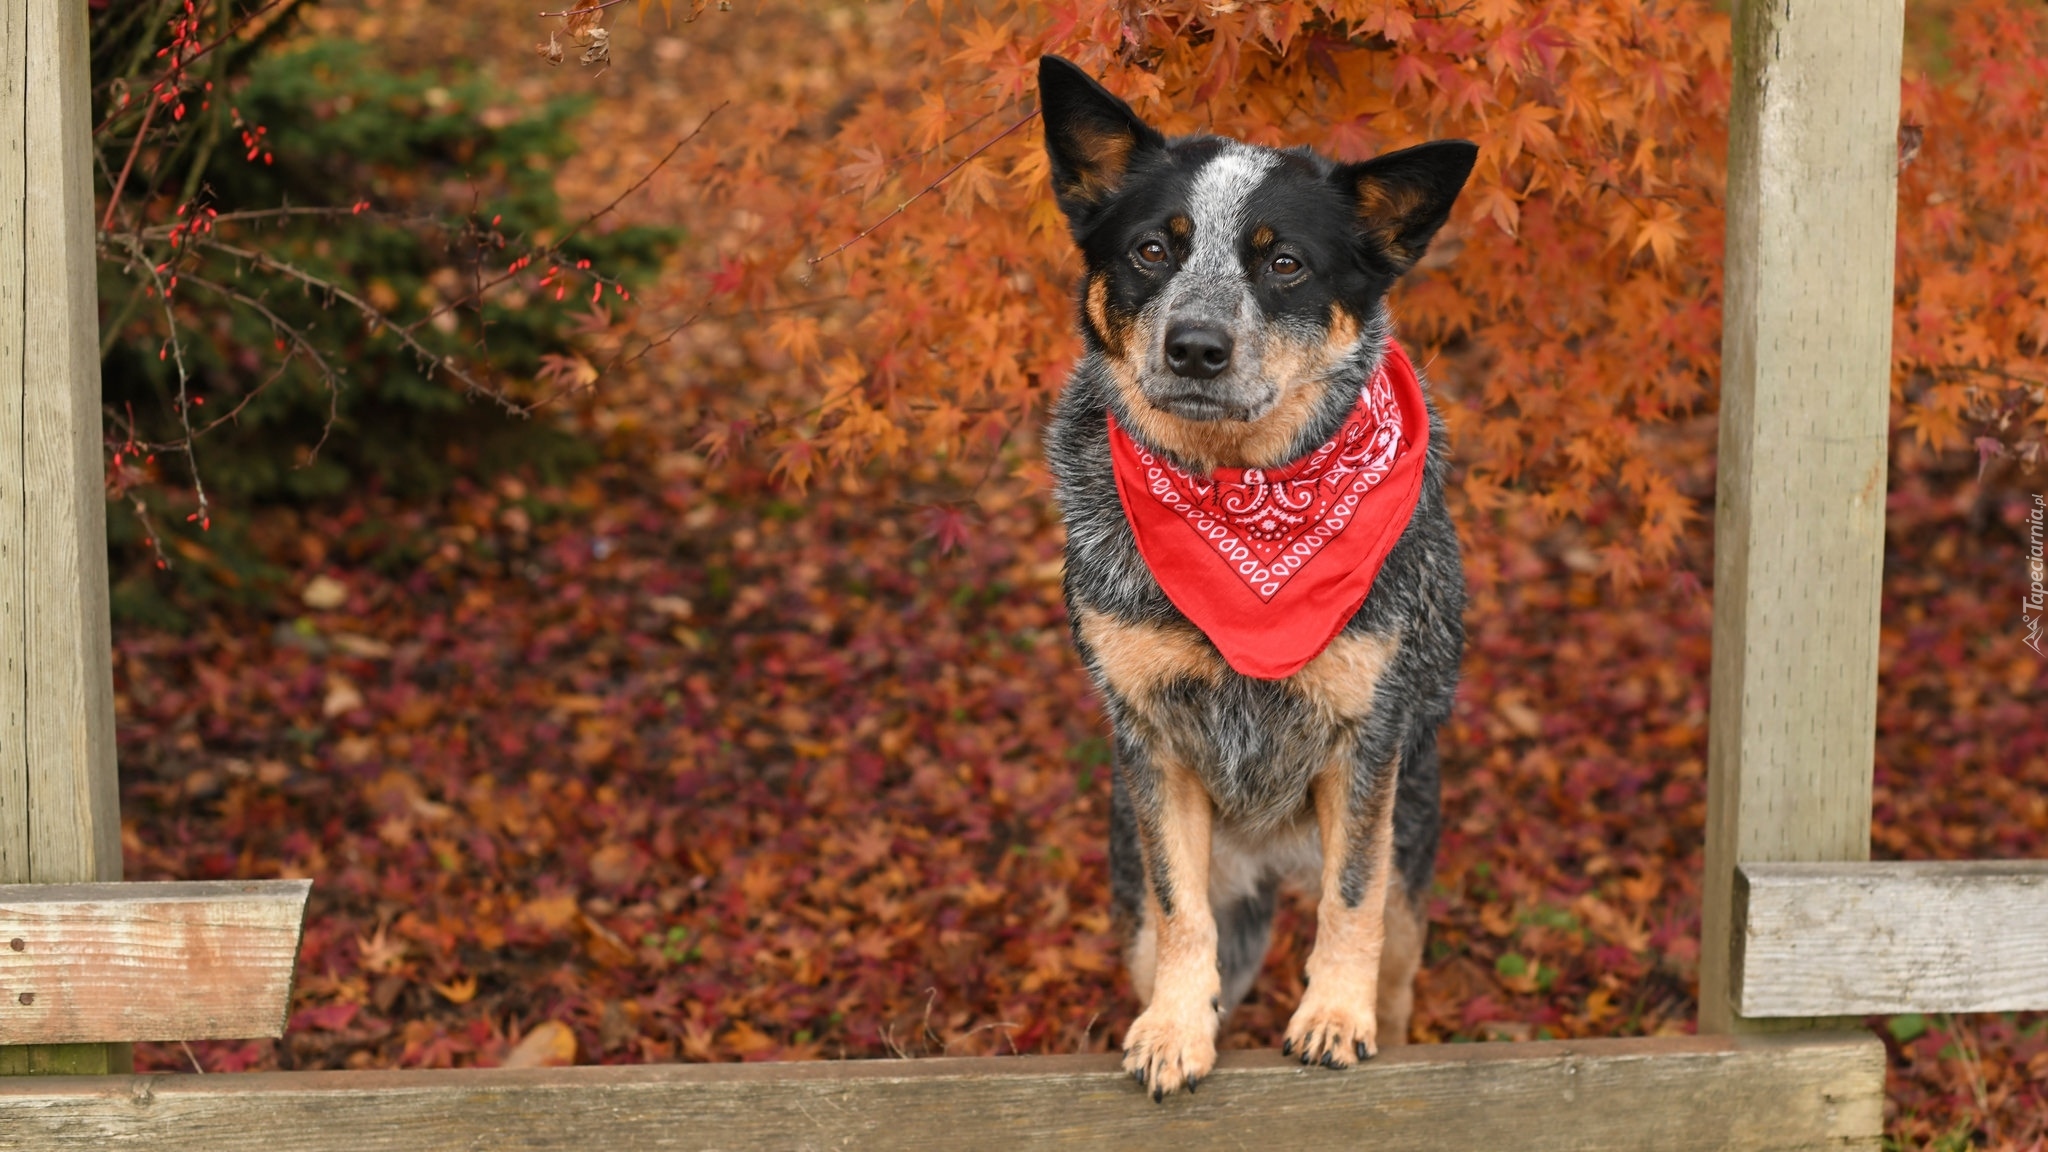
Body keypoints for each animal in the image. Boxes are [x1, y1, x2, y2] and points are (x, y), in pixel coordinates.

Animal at [1040, 53, 1474, 1090]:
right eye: (1153, 251)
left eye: (1285, 264)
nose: (1196, 346)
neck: (1246, 500)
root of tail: (1276, 859)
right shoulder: (1151, 740)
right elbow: (1179, 909)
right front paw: (1172, 1031)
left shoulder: (1368, 739)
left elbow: (1349, 902)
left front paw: (1332, 1016)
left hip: (1411, 863)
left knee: (1389, 960)